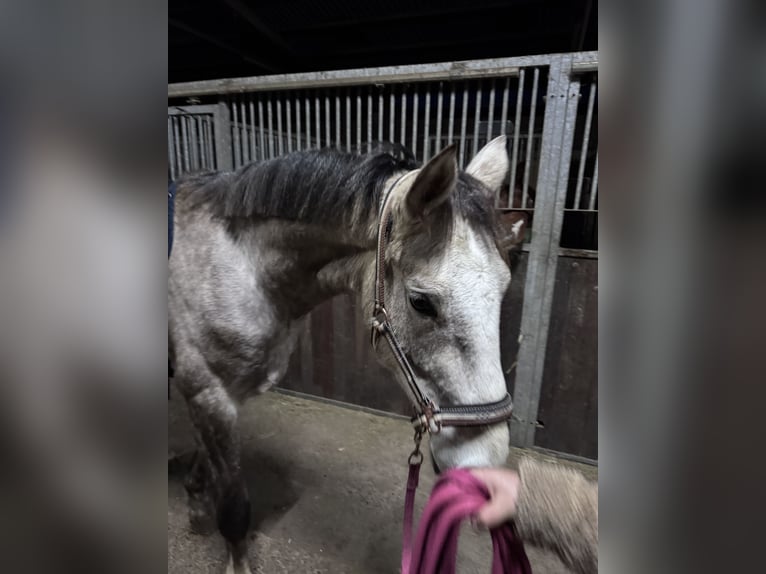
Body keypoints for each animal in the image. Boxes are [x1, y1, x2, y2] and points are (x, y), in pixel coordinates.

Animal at [168, 135, 526, 573]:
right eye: (421, 302)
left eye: (504, 286)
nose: (484, 462)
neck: (238, 268)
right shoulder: (209, 392)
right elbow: (235, 507)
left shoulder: (213, 398)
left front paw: (197, 503)